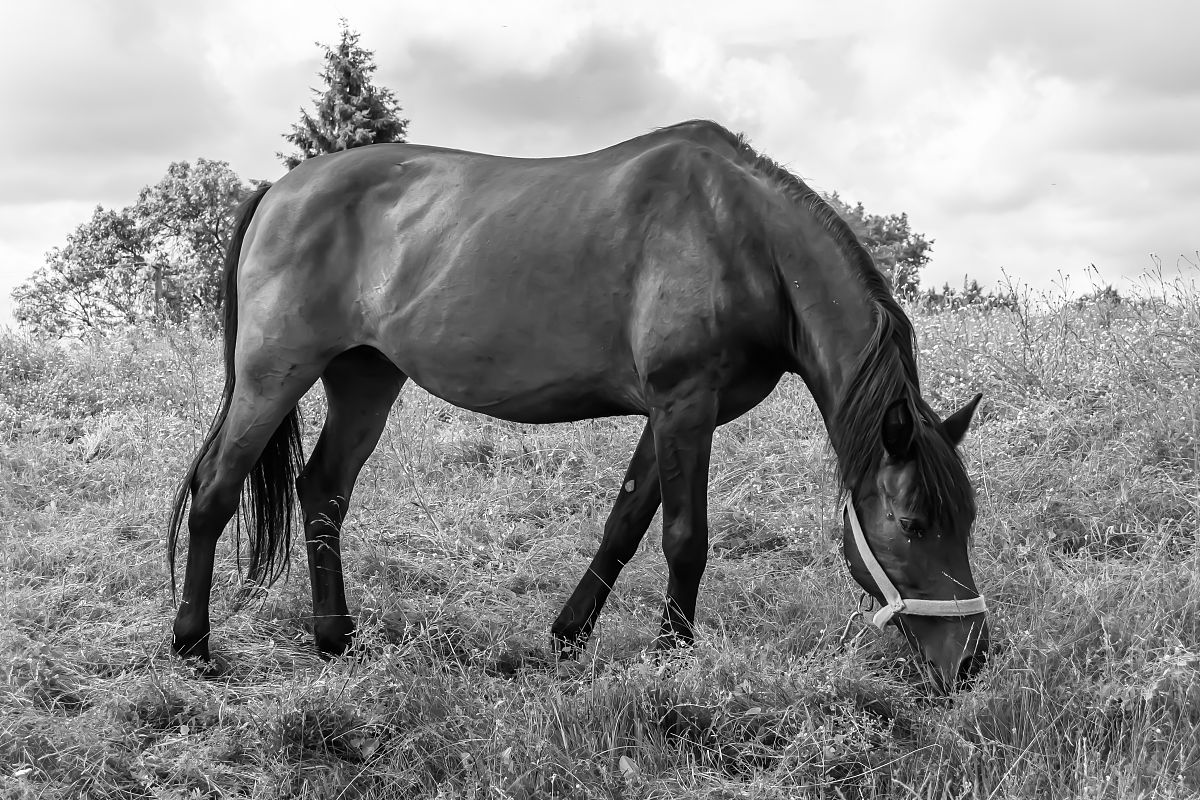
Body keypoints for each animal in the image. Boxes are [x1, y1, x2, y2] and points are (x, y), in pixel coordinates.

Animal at [167, 120, 988, 692]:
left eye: (968, 522)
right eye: (913, 524)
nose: (973, 663)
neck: (742, 235)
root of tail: (277, 191)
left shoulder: (674, 413)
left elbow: (625, 525)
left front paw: (568, 637)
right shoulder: (683, 404)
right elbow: (685, 538)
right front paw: (673, 656)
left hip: (365, 381)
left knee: (323, 492)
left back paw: (336, 639)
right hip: (273, 376)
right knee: (215, 490)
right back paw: (192, 644)